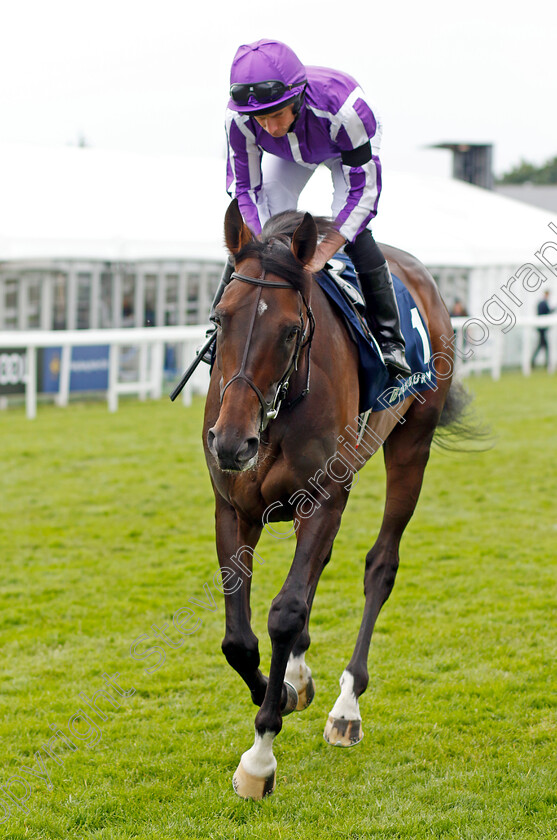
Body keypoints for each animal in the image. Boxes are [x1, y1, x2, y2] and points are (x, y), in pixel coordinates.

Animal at [202, 199, 466, 800]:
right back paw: (299, 675)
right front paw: (279, 688)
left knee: (381, 565)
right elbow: (238, 638)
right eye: (221, 318)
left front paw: (260, 756)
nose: (231, 442)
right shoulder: (234, 506)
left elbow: (284, 612)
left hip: (413, 441)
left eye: (290, 329)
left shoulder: (325, 495)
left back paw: (347, 706)